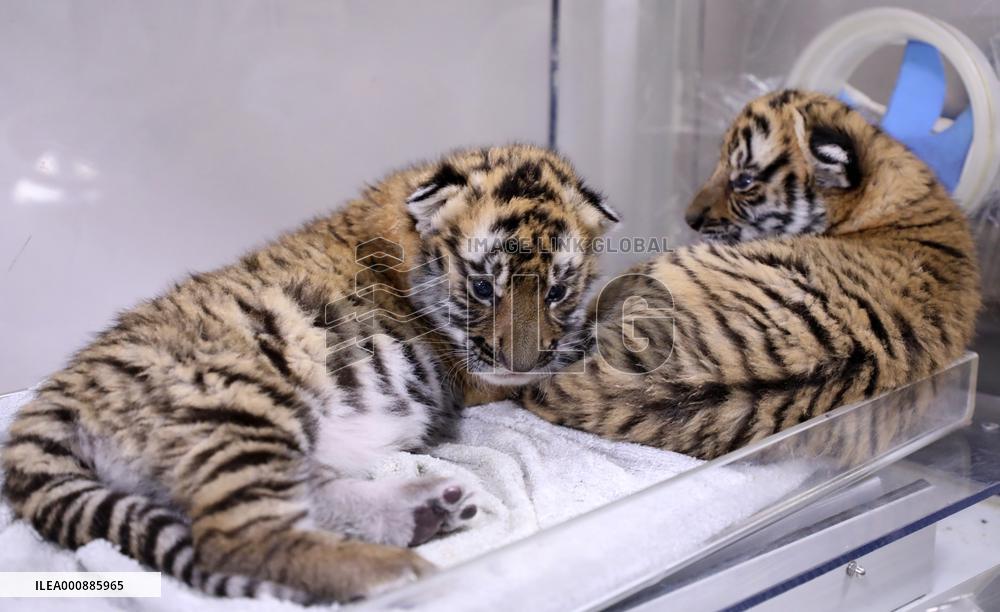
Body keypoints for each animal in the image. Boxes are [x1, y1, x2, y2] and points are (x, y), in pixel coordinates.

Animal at [1, 144, 619, 602]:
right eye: (485, 288)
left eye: (556, 292)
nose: (523, 361)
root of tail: (52, 397)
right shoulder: (477, 371)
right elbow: (576, 349)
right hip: (243, 404)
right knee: (237, 538)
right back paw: (397, 572)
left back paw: (426, 512)